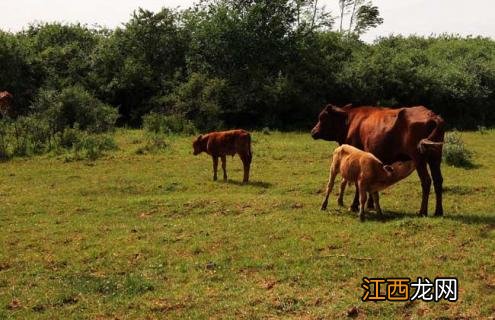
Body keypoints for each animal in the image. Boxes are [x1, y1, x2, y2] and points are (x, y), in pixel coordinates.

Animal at [310, 105, 446, 218]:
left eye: (322, 118)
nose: (312, 131)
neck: (350, 122)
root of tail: (431, 115)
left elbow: (357, 186)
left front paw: (354, 206)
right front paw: (370, 205)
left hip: (419, 159)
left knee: (426, 181)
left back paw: (422, 211)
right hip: (435, 157)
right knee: (438, 180)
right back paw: (438, 211)